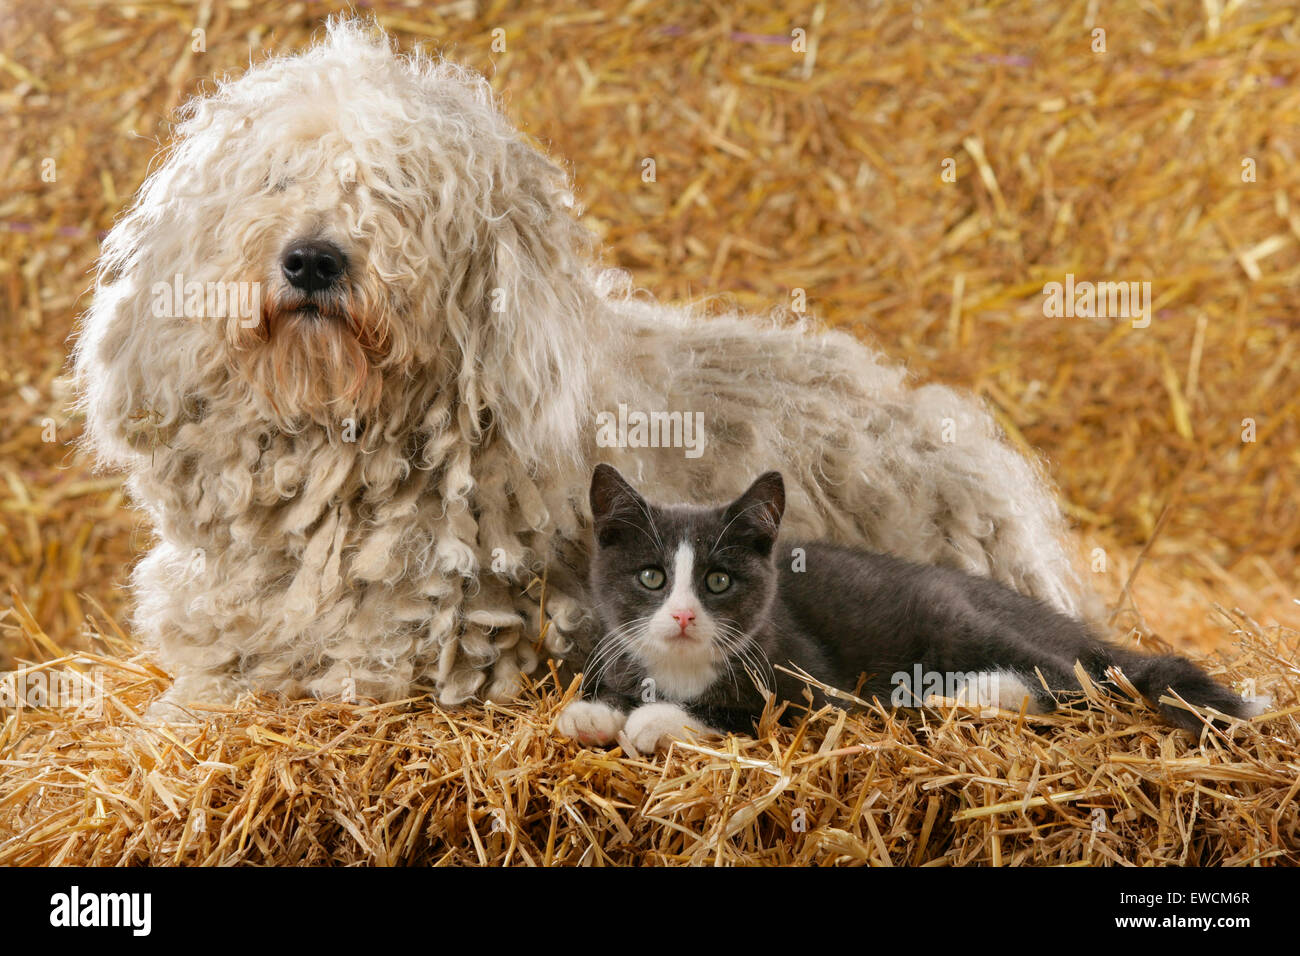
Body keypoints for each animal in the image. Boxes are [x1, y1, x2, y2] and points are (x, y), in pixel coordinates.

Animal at [556, 465, 1258, 754]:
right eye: (651, 577)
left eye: (718, 581)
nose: (681, 617)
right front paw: (594, 710)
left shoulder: (816, 687)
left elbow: (751, 714)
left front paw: (655, 720)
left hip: (951, 615)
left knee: (1075, 677)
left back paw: (974, 694)